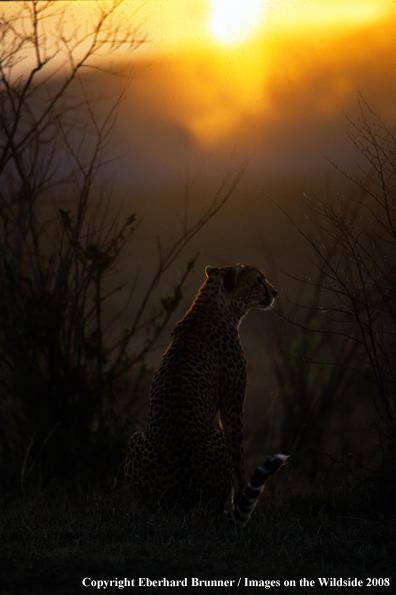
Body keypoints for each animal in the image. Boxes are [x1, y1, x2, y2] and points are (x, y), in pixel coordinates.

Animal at [125, 264, 290, 524]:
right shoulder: (232, 407)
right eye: (258, 280)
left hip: (135, 439)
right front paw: (239, 504)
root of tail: (177, 501)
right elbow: (239, 461)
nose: (274, 293)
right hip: (214, 439)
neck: (214, 307)